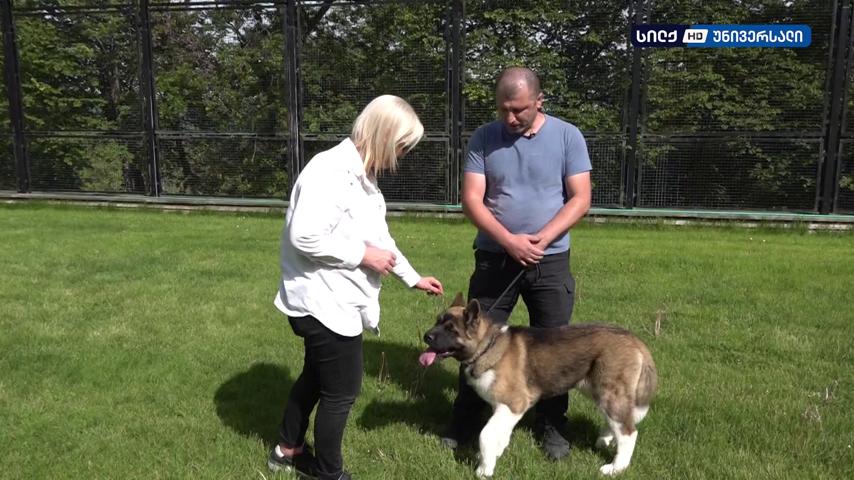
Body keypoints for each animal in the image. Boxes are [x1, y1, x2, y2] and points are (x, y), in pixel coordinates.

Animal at [419, 293, 658, 477]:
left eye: (451, 329)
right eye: (438, 321)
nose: (426, 336)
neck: (487, 347)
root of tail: (635, 340)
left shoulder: (513, 403)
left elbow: (486, 434)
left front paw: (484, 469)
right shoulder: (506, 409)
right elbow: (500, 434)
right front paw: (493, 455)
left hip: (609, 392)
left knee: (628, 432)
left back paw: (616, 467)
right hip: (598, 389)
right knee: (616, 420)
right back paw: (605, 440)